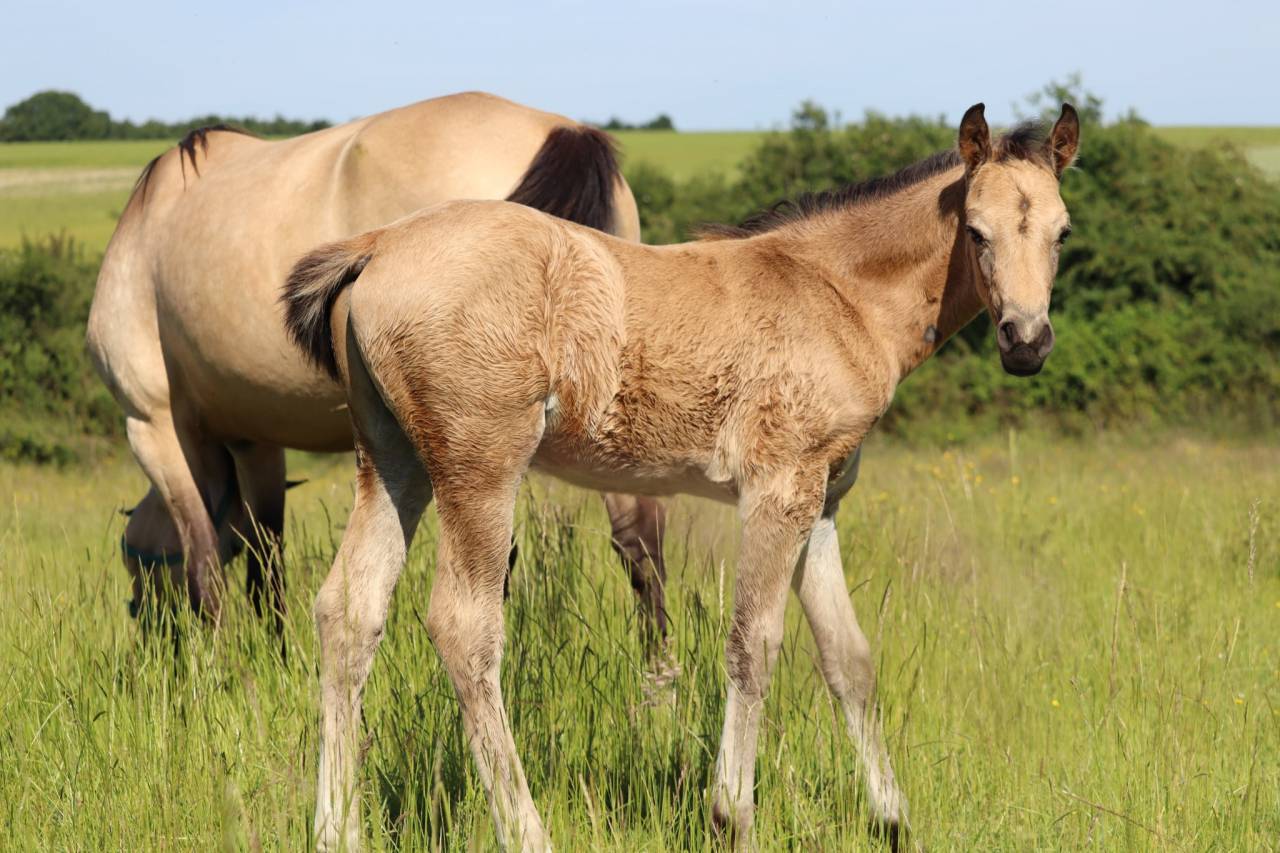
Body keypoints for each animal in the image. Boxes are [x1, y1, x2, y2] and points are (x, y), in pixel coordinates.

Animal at [86, 91, 670, 641]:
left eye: (133, 559)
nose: (146, 627)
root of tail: (558, 131)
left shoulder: (154, 426)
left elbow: (206, 560)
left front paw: (225, 665)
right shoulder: (257, 441)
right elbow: (265, 555)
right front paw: (275, 653)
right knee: (638, 536)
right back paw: (657, 671)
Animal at [282, 102, 1079, 849]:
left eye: (1062, 233)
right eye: (975, 230)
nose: (1027, 343)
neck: (836, 292)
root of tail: (378, 244)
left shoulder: (820, 502)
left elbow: (848, 658)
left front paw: (892, 820)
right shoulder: (777, 490)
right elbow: (753, 646)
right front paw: (732, 816)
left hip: (392, 461)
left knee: (347, 613)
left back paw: (336, 831)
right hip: (479, 466)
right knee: (463, 627)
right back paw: (527, 829)